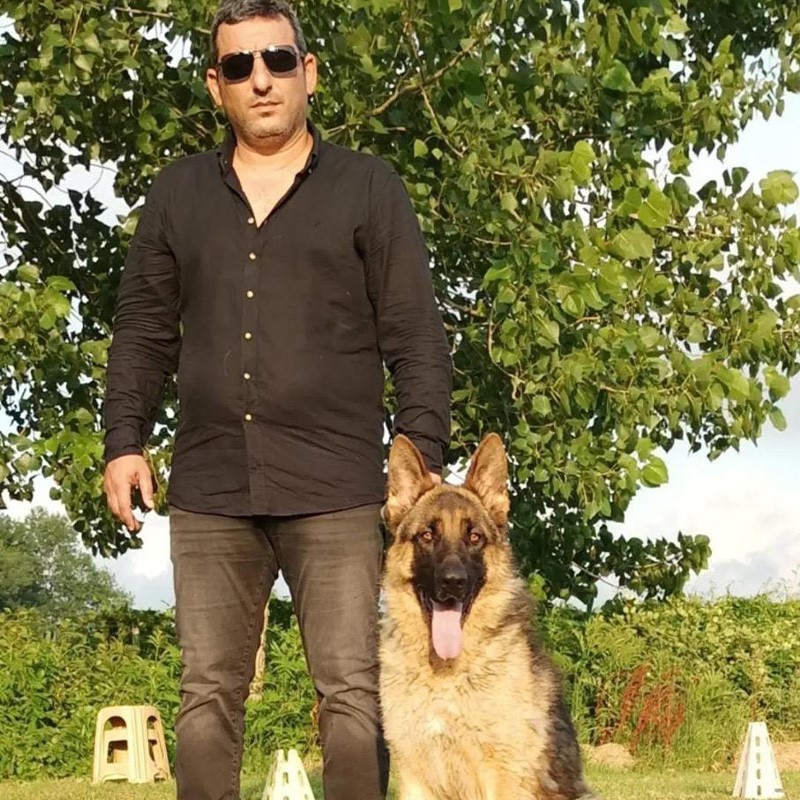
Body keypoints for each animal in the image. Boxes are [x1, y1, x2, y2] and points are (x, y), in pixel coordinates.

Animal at [379, 433, 597, 800]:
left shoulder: (503, 777)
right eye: (427, 535)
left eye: (475, 537)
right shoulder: (415, 779)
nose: (453, 582)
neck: (446, 675)